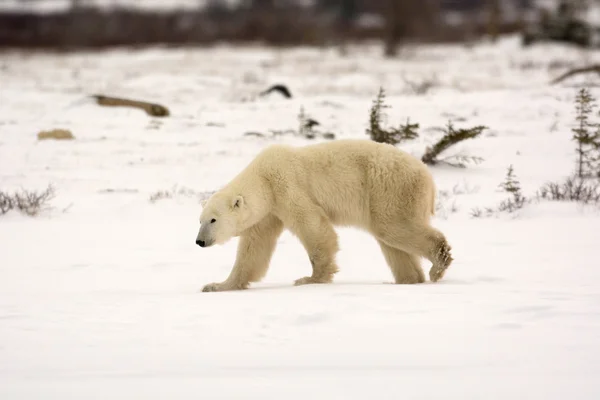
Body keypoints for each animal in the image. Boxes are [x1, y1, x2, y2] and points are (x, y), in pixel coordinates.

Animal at [195, 139, 452, 292]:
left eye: (213, 220)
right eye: (200, 220)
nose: (200, 241)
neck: (263, 179)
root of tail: (428, 176)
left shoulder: (286, 186)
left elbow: (312, 226)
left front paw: (311, 278)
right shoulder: (269, 211)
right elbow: (254, 248)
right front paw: (218, 285)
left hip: (389, 188)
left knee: (392, 227)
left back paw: (438, 264)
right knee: (391, 243)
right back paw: (407, 279)